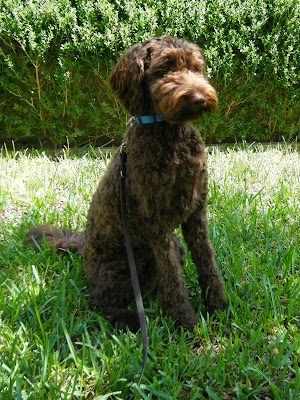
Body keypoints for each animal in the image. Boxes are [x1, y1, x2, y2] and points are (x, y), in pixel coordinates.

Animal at [27, 36, 227, 332]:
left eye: (196, 68)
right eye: (165, 68)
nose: (200, 99)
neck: (169, 133)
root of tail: (82, 248)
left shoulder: (196, 211)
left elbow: (207, 262)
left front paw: (218, 307)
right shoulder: (156, 221)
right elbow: (172, 277)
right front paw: (185, 320)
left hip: (169, 246)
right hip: (130, 263)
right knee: (96, 302)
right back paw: (133, 318)